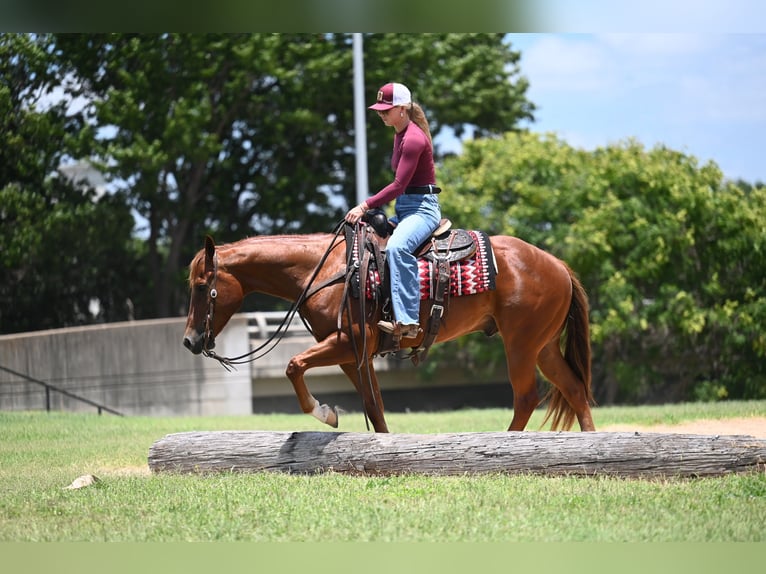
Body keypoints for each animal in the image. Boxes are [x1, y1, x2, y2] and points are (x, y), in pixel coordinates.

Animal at [182, 228, 596, 433]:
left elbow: (293, 365)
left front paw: (324, 413)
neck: (326, 269)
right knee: (575, 389)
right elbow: (374, 405)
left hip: (521, 345)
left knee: (526, 397)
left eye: (202, 287)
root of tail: (557, 264)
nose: (189, 340)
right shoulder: (355, 355)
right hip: (543, 346)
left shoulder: (345, 342)